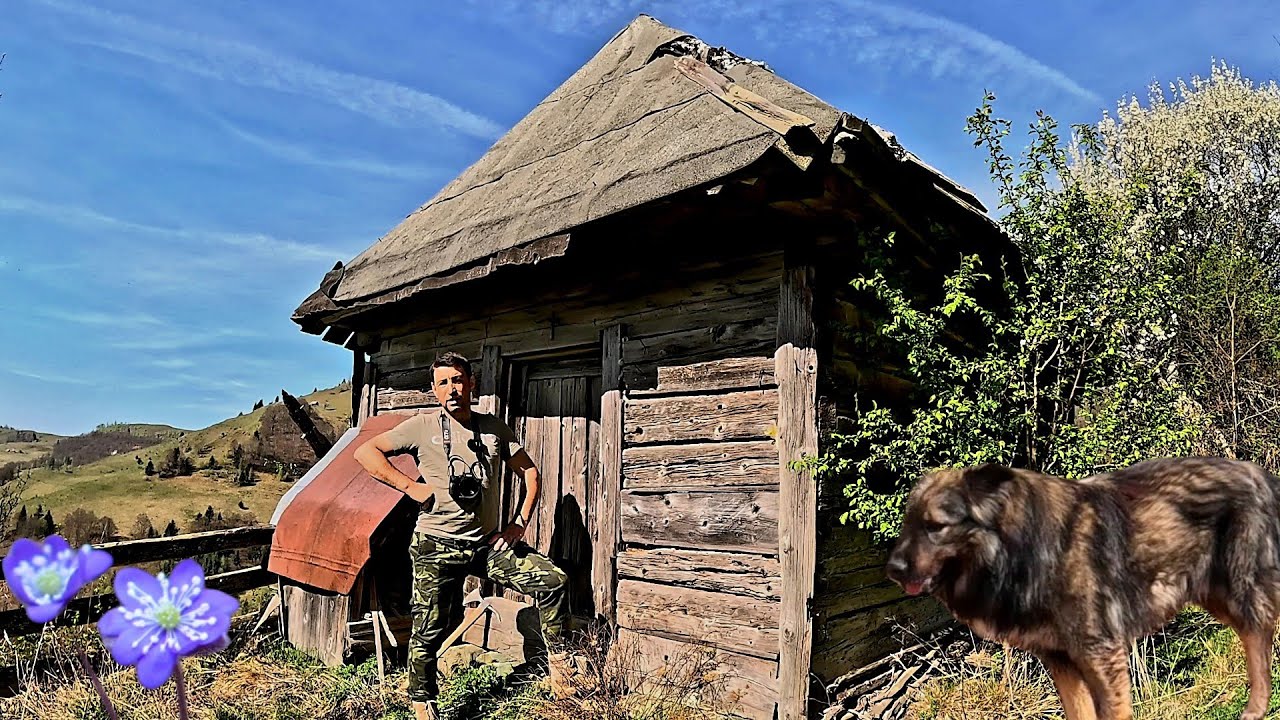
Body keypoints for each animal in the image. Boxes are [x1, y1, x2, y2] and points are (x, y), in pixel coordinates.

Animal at [885, 456, 1280, 712]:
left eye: (936, 526)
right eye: (908, 524)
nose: (892, 569)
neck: (1019, 549)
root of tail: (1262, 474)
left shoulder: (1101, 656)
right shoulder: (1063, 662)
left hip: (1242, 592)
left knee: (1261, 651)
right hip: (1219, 598)